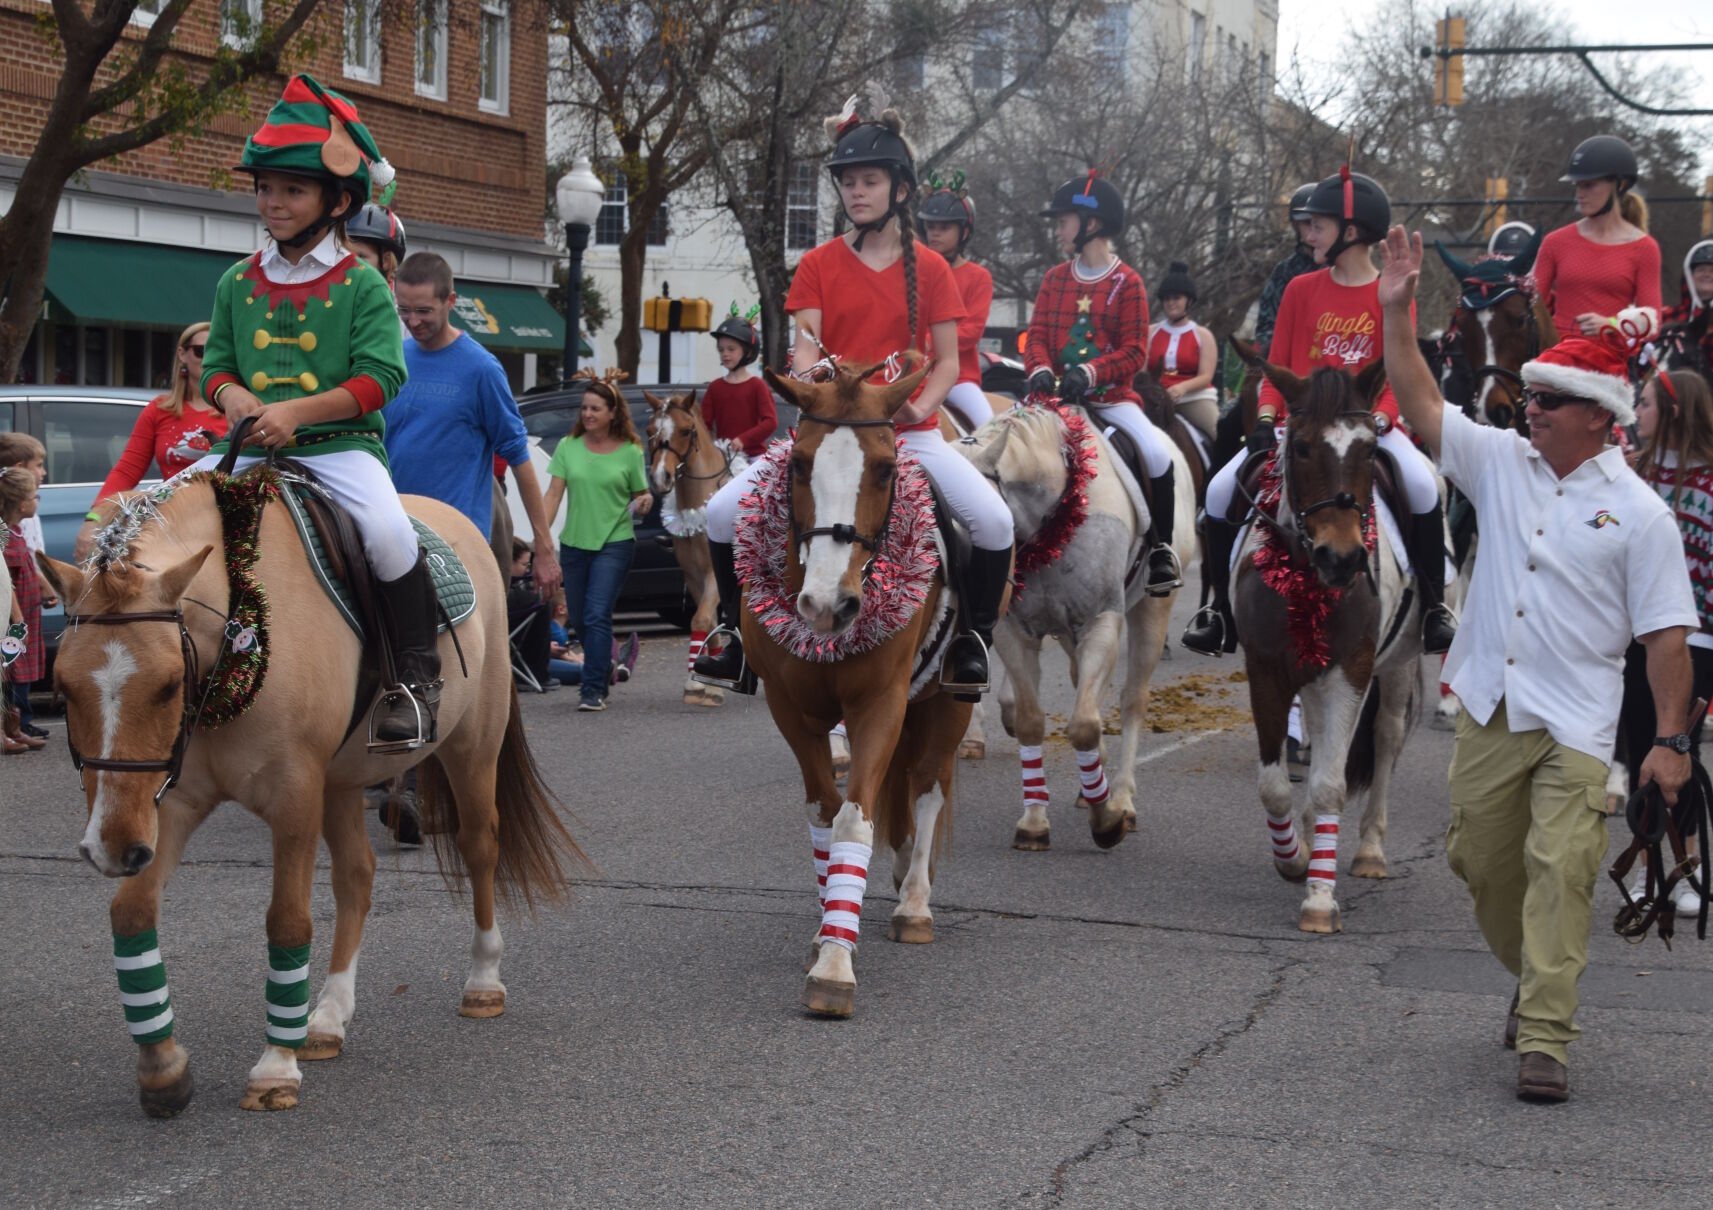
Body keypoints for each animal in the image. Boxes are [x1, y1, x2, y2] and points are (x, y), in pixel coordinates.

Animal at [38, 466, 582, 1117]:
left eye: (169, 685)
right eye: (62, 687)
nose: (112, 848)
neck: (240, 621)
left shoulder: (294, 795)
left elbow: (289, 923)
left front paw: (275, 1067)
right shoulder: (172, 802)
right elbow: (132, 912)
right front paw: (162, 1068)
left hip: (471, 747)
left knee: (480, 848)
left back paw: (482, 983)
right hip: (342, 781)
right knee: (356, 876)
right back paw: (325, 1018)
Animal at [644, 387, 740, 706]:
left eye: (686, 431)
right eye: (649, 430)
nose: (660, 478)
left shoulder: (714, 574)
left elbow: (700, 619)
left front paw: (697, 684)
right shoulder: (693, 575)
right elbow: (707, 622)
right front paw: (708, 681)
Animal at [740, 358, 979, 1014]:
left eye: (885, 469)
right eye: (799, 463)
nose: (828, 606)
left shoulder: (881, 704)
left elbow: (855, 820)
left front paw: (834, 968)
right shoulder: (789, 710)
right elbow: (825, 814)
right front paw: (827, 932)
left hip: (949, 701)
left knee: (927, 785)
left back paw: (914, 901)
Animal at [959, 401, 1199, 843]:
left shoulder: (1101, 621)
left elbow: (1085, 724)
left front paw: (1108, 819)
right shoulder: (1014, 634)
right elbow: (1031, 721)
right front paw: (1035, 821)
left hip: (1152, 609)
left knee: (1132, 699)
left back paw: (1119, 797)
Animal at [1240, 358, 1425, 932]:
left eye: (1368, 448)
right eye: (1300, 447)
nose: (1341, 557)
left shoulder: (1352, 668)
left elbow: (1330, 784)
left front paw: (1320, 898)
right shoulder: (1266, 669)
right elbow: (1275, 786)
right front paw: (1295, 858)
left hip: (1397, 664)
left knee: (1386, 737)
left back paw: (1368, 850)